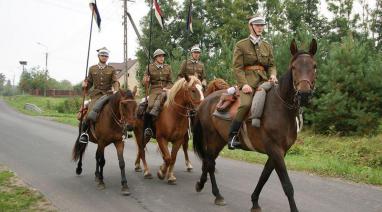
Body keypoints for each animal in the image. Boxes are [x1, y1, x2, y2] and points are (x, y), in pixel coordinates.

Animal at [192, 38, 318, 212]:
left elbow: (264, 177)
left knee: (208, 161)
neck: (280, 107)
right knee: (210, 163)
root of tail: (206, 100)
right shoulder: (275, 151)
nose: (304, 94)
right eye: (294, 67)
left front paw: (255, 202)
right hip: (212, 138)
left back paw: (201, 184)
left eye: (314, 66)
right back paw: (217, 195)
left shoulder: (279, 152)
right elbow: (287, 185)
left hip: (219, 140)